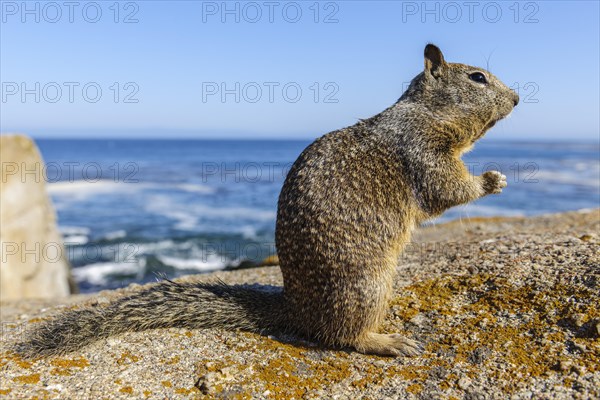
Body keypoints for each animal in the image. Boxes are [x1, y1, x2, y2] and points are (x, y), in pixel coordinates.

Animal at [12, 44, 516, 360]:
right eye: (477, 77)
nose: (516, 96)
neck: (425, 112)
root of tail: (295, 308)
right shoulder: (422, 151)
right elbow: (447, 189)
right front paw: (492, 179)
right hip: (368, 286)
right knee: (342, 336)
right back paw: (386, 341)